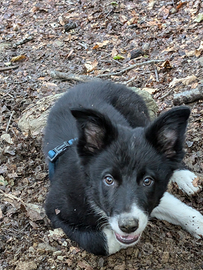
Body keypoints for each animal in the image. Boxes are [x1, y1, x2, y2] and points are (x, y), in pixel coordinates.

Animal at [43, 79, 202, 255]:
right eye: (108, 180)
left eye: (147, 181)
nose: (128, 226)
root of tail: (95, 81)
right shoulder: (54, 210)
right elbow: (102, 241)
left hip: (138, 115)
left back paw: (185, 177)